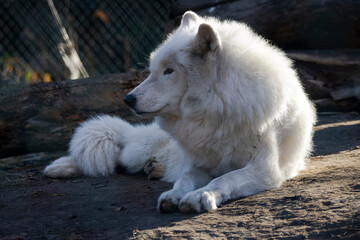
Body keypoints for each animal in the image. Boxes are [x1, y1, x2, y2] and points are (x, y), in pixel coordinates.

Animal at [44, 11, 316, 213]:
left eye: (169, 71)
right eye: (153, 69)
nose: (128, 99)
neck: (217, 110)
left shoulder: (265, 170)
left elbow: (224, 179)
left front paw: (200, 196)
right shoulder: (200, 164)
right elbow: (184, 179)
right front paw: (174, 194)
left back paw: (155, 169)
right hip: (137, 151)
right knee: (113, 153)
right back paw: (59, 167)